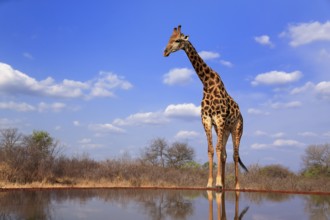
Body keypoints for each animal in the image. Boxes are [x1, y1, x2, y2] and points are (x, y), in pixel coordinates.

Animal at [162, 24, 248, 189]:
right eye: (168, 39)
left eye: (177, 40)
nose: (165, 52)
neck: (207, 83)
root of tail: (241, 115)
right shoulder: (206, 120)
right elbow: (211, 150)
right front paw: (210, 183)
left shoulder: (219, 119)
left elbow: (218, 149)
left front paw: (218, 183)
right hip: (225, 130)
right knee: (225, 154)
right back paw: (225, 184)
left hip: (237, 129)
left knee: (234, 155)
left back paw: (237, 186)